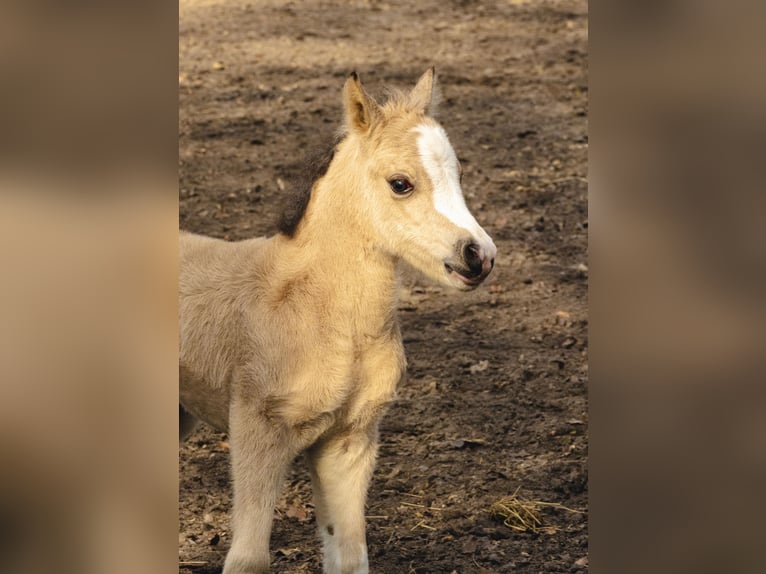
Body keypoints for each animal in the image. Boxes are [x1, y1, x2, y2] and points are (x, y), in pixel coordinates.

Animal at [179, 68, 497, 574]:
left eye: (459, 175)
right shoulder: (256, 432)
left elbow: (350, 557)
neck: (321, 315)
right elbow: (249, 559)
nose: (479, 256)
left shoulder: (349, 441)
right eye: (400, 183)